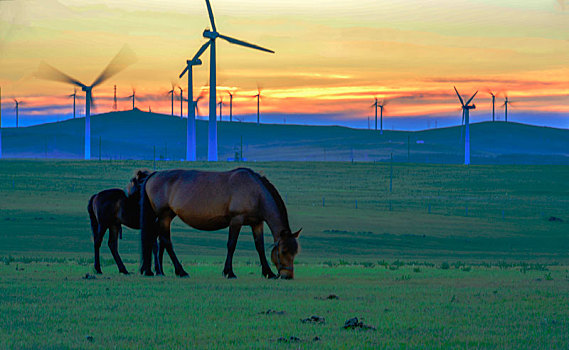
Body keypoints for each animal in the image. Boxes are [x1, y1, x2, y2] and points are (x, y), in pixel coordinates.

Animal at [131, 167, 302, 278]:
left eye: (295, 252)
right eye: (284, 251)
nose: (287, 275)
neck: (256, 191)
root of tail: (153, 175)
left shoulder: (256, 223)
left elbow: (259, 246)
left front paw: (268, 272)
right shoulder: (236, 220)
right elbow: (231, 245)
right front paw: (229, 272)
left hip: (165, 217)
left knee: (157, 240)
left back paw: (157, 271)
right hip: (164, 216)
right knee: (165, 241)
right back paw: (180, 271)